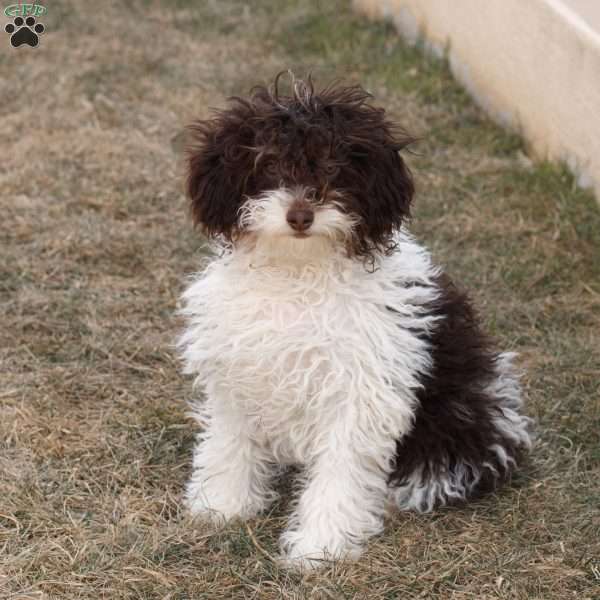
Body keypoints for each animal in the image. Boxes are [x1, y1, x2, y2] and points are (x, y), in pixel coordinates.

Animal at [176, 74, 532, 568]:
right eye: (270, 164)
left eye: (333, 168)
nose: (300, 215)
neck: (298, 272)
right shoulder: (240, 370)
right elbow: (230, 441)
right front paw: (222, 504)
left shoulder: (362, 392)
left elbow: (341, 471)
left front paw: (321, 546)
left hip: (458, 416)